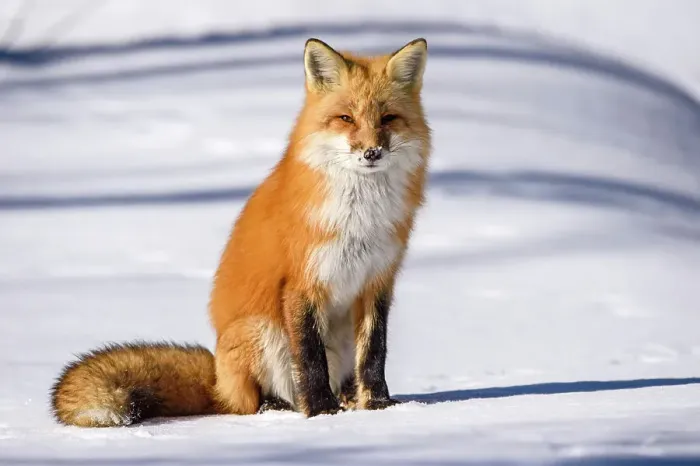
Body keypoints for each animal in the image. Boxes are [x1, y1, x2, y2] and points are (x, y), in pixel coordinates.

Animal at [50, 37, 431, 427]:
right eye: (346, 118)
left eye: (388, 119)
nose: (372, 152)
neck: (360, 218)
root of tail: (218, 381)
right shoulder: (301, 283)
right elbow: (310, 361)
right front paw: (322, 412)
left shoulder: (377, 281)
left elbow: (374, 353)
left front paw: (378, 406)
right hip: (259, 332)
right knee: (251, 402)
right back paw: (276, 407)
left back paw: (348, 398)